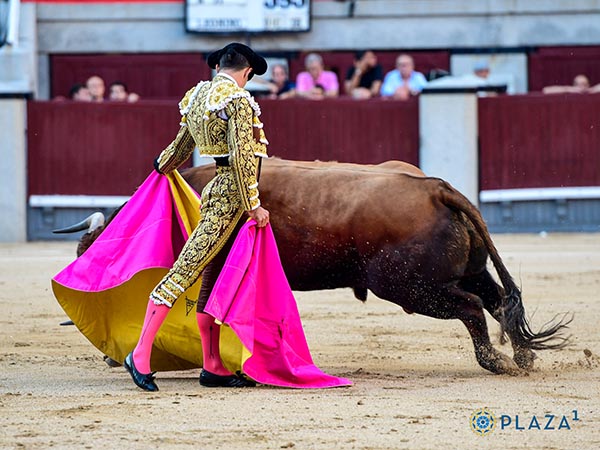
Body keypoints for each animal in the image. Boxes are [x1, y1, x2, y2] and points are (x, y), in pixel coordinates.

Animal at [57, 159, 572, 376]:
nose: (108, 353)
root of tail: (436, 189)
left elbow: (205, 311)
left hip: (410, 287)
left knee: (470, 309)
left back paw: (496, 362)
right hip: (463, 271)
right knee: (498, 300)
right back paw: (523, 356)